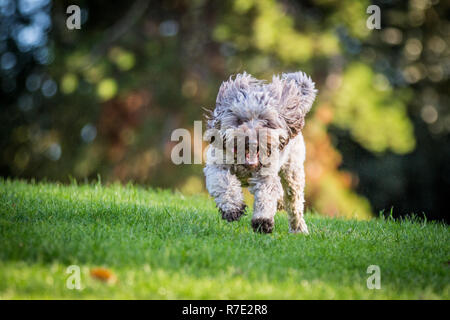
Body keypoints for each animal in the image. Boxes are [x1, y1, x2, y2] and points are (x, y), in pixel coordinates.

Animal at [204, 71, 316, 234]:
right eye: (240, 120)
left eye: (266, 121)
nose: (251, 141)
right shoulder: (217, 166)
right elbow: (224, 183)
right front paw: (233, 209)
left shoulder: (266, 175)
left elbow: (266, 194)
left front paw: (263, 221)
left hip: (292, 173)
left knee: (294, 203)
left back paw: (298, 229)